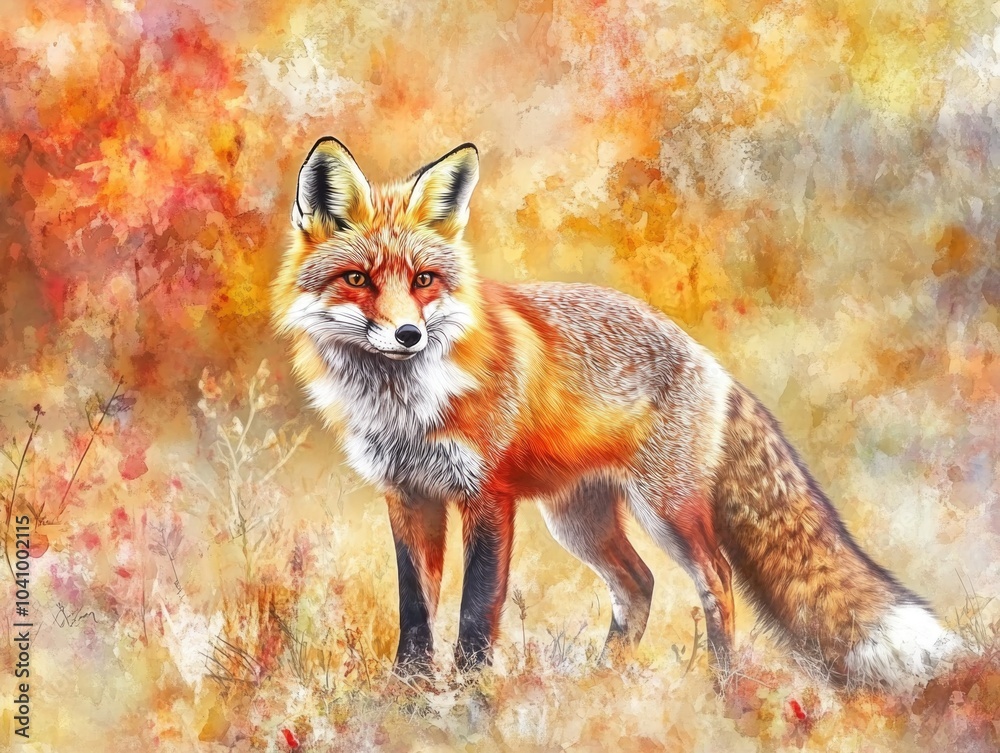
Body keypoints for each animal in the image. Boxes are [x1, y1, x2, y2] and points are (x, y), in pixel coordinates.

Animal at [272, 137, 962, 690]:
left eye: (423, 280)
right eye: (358, 279)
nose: (409, 335)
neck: (406, 407)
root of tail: (713, 363)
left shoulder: (487, 496)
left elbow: (474, 612)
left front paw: (468, 698)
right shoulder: (408, 495)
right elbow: (416, 610)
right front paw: (407, 695)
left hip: (667, 509)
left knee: (716, 580)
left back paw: (723, 688)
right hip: (579, 520)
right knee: (638, 584)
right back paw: (602, 681)